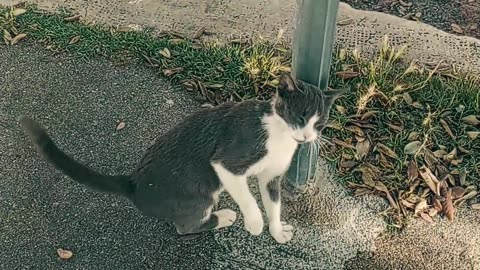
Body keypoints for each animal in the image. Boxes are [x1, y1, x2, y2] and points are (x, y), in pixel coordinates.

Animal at [19, 73, 344, 244]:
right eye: (301, 116)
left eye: (320, 124)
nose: (307, 137)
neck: (278, 134)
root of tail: (134, 183)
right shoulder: (228, 161)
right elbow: (248, 197)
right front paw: (255, 223)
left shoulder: (272, 176)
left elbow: (274, 204)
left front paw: (277, 231)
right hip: (198, 196)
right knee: (185, 226)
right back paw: (225, 216)